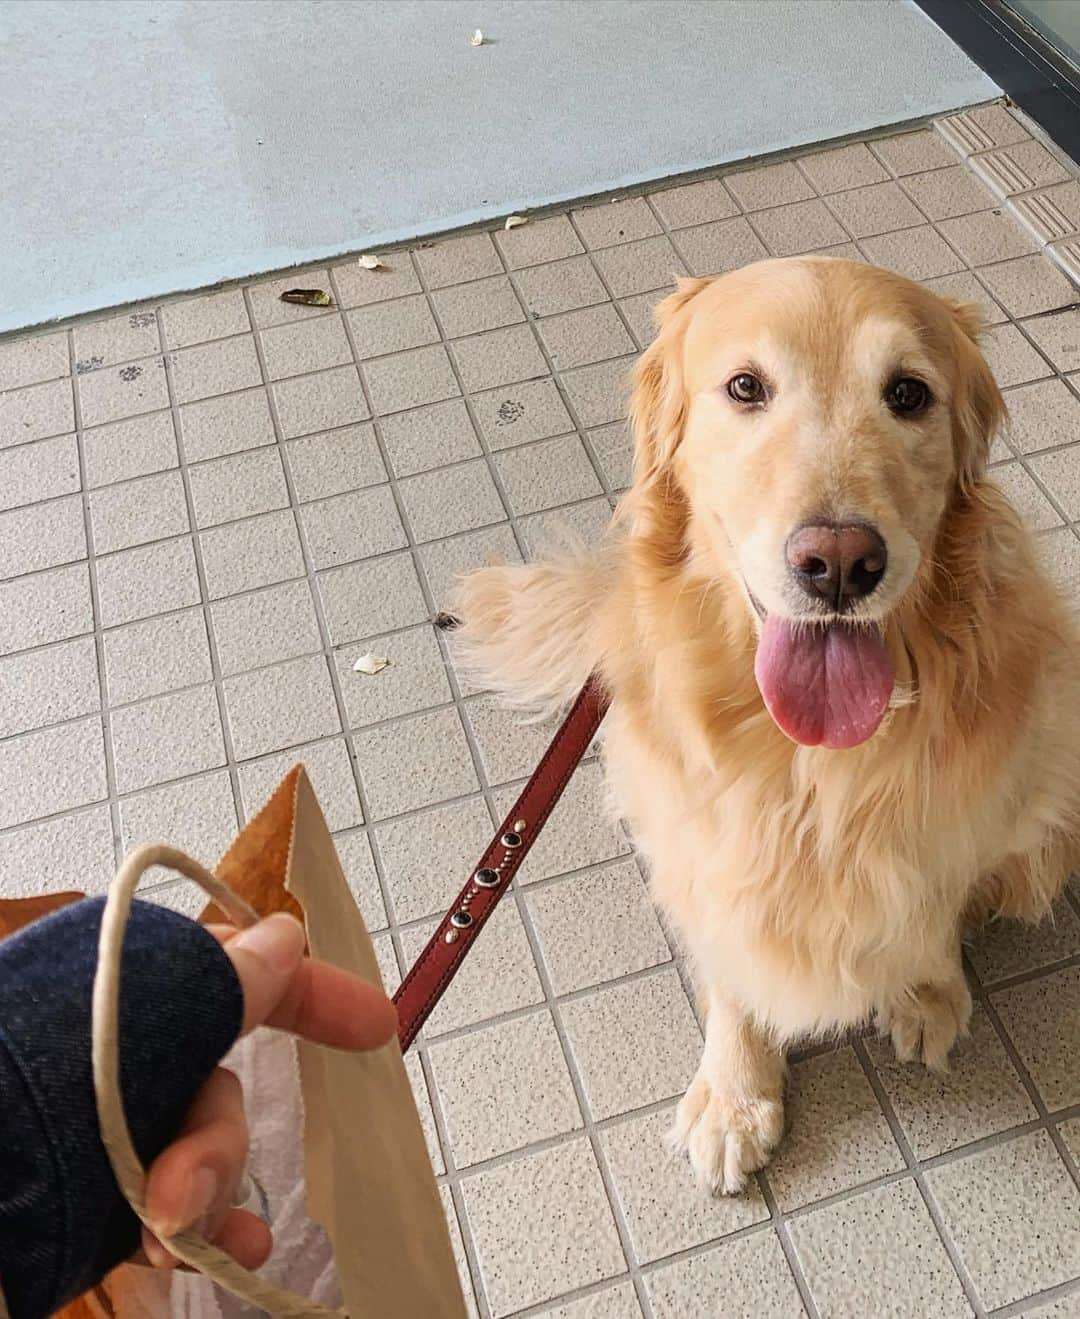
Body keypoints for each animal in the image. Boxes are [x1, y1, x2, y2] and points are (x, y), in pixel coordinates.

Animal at [456, 257, 1080, 1197]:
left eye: (908, 393)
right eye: (745, 387)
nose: (840, 563)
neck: (809, 762)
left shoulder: (981, 811)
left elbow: (935, 902)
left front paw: (925, 987)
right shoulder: (699, 844)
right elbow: (732, 965)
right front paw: (735, 1093)